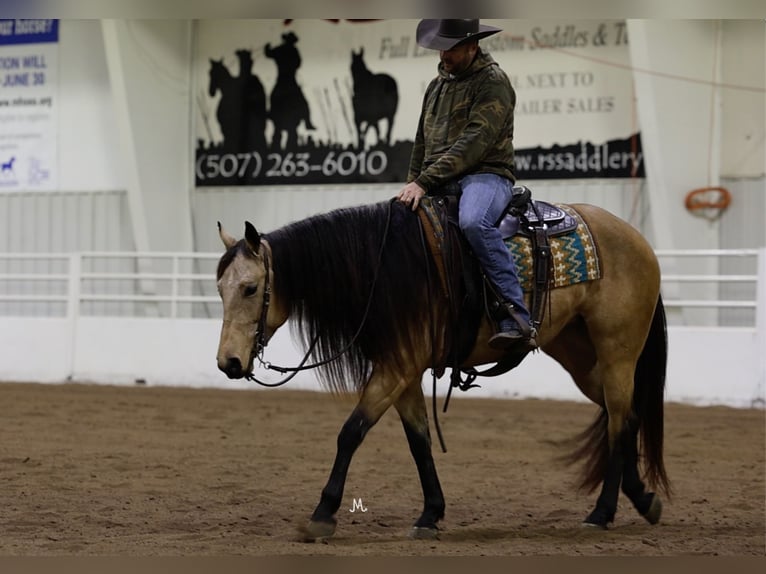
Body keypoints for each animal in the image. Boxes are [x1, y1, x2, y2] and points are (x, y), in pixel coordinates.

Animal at [216, 196, 672, 544]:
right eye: (220, 288)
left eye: (251, 288)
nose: (228, 362)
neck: (380, 269)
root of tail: (635, 238)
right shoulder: (401, 371)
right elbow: (418, 442)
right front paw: (430, 514)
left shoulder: (396, 369)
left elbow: (351, 433)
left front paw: (322, 514)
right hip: (580, 355)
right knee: (625, 416)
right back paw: (643, 499)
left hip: (617, 352)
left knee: (619, 420)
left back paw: (602, 512)